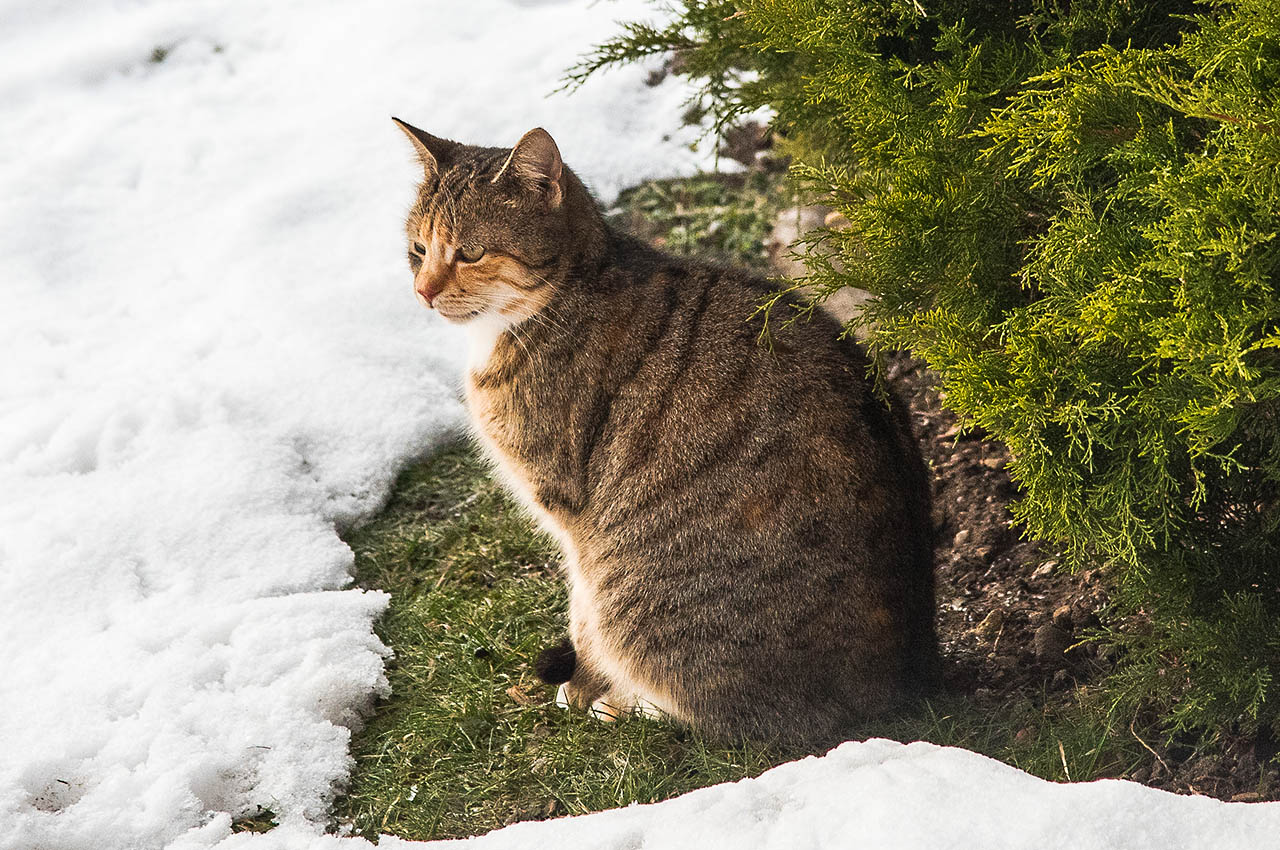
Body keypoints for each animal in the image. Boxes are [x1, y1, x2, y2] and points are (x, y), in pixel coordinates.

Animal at [394, 119, 936, 742]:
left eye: (471, 252)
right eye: (417, 250)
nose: (423, 292)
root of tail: (904, 684)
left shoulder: (574, 520)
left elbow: (583, 614)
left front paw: (586, 687)